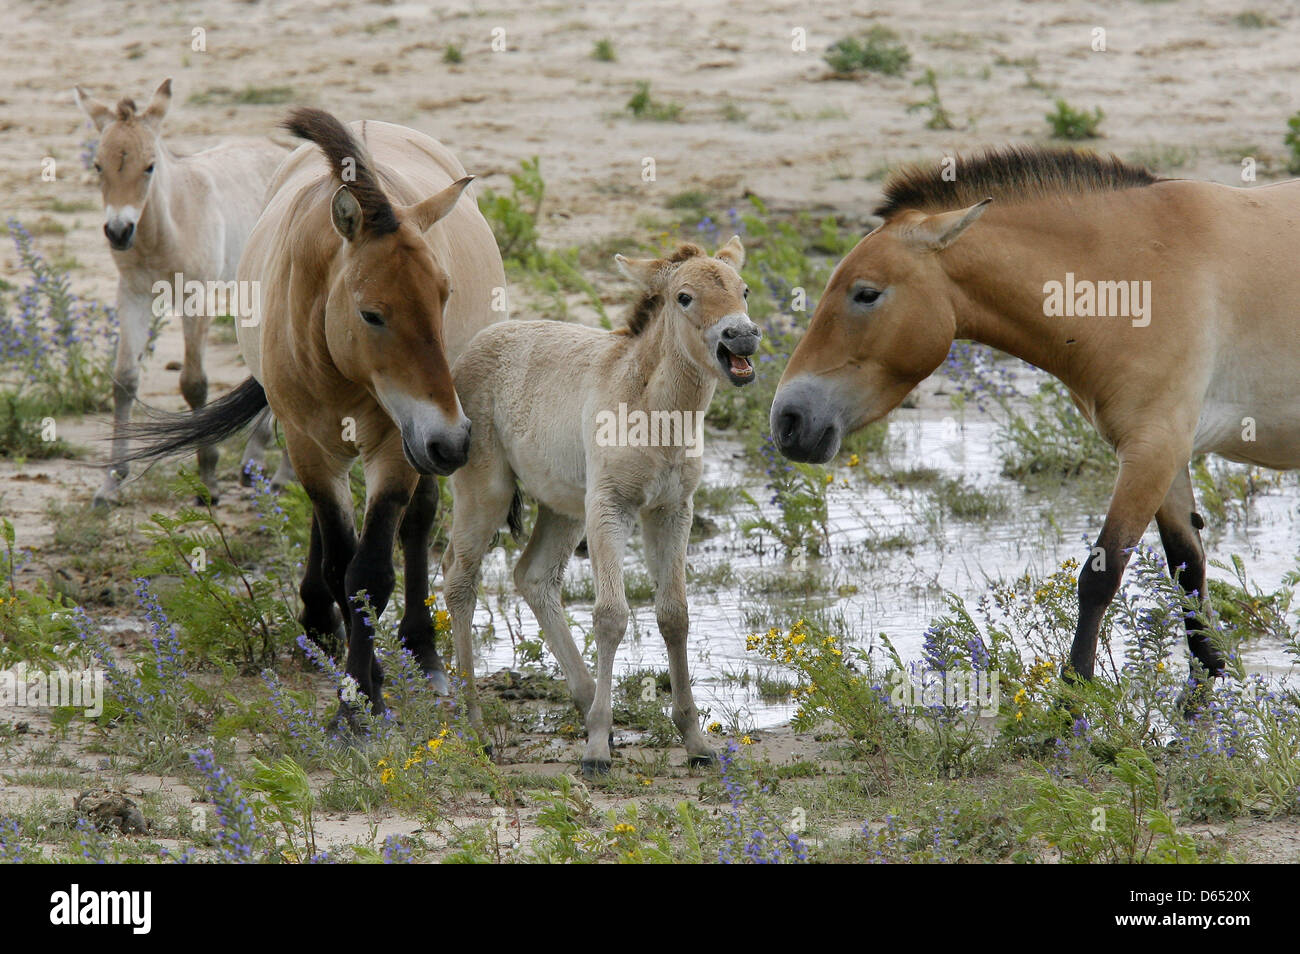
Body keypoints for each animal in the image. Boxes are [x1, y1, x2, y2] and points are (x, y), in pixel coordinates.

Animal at [73, 80, 289, 509]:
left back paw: (278, 476)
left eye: (149, 166)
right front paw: (111, 483)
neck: (164, 228)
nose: (118, 232)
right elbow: (124, 380)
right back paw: (252, 464)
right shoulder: (132, 294)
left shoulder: (196, 296)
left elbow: (193, 383)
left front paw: (208, 481)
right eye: (98, 166)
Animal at [122, 108, 506, 722]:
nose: (451, 441)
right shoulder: (308, 443)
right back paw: (321, 623)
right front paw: (361, 685)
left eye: (444, 296)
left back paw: (422, 651)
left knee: (418, 522)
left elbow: (371, 571)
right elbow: (341, 563)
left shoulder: (397, 446)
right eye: (372, 314)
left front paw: (357, 704)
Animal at [444, 239, 759, 779]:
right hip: (485, 492)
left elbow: (674, 614)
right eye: (684, 297)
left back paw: (589, 703)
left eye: (743, 290)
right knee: (459, 579)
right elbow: (611, 615)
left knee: (532, 575)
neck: (657, 413)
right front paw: (594, 751)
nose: (741, 336)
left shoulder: (673, 510)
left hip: (565, 507)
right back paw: (478, 731)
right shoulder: (610, 506)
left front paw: (695, 741)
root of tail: (470, 349)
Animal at [769, 145, 1300, 691]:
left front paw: (1076, 696)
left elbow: (1100, 576)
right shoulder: (1166, 456)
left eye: (867, 293)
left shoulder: (1153, 449)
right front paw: (1204, 687)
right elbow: (1188, 573)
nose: (788, 419)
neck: (1143, 271)